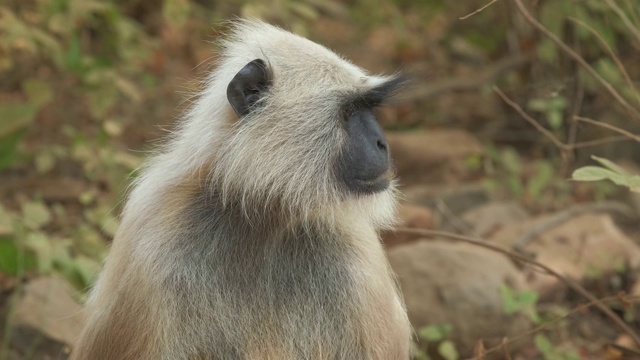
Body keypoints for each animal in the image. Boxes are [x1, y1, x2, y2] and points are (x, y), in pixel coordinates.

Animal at [70, 19, 410, 360]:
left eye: (367, 108)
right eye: (350, 110)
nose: (382, 143)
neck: (266, 217)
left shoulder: (354, 257)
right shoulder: (155, 240)